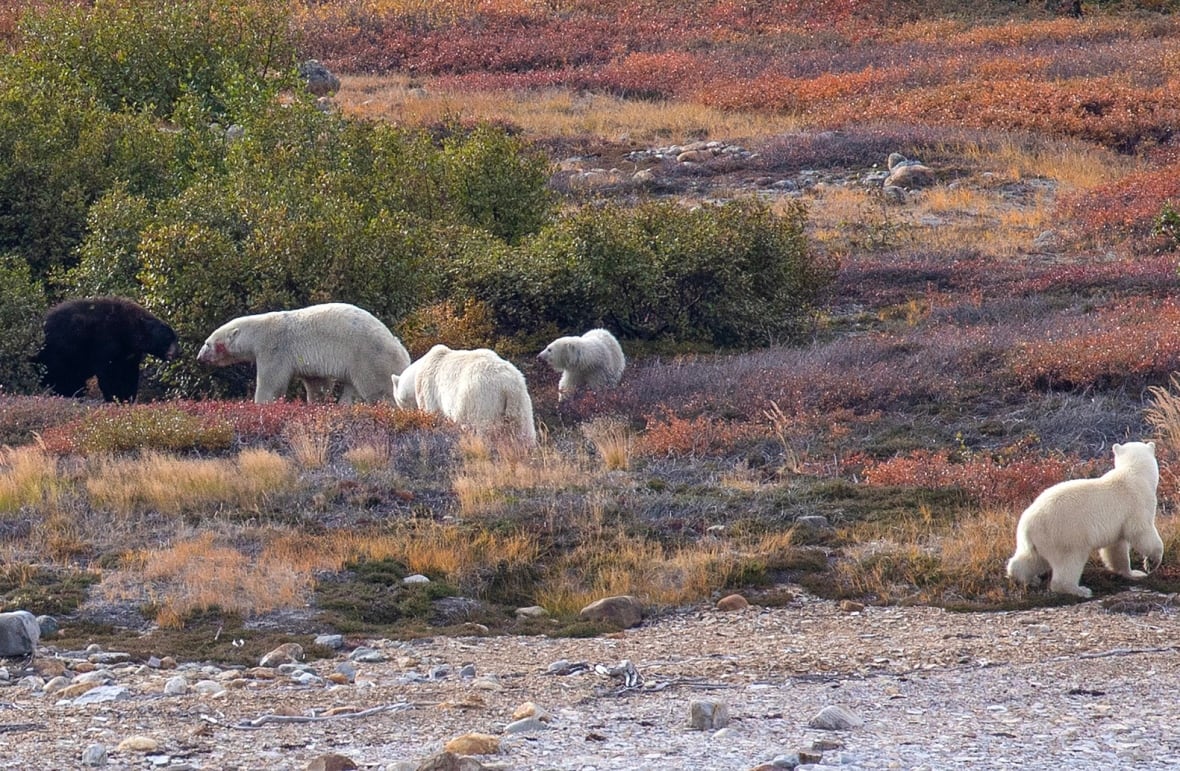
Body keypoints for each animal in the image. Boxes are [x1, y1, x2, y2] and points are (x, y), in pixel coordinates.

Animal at [37, 296, 179, 402]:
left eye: (175, 338)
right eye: (168, 338)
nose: (177, 352)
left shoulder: (129, 353)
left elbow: (129, 373)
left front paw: (127, 397)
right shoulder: (106, 342)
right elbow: (108, 372)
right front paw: (114, 397)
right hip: (60, 350)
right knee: (62, 374)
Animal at [197, 303, 410, 404]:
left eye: (207, 343)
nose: (199, 357)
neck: (256, 332)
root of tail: (404, 354)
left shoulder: (275, 348)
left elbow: (271, 383)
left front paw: (260, 404)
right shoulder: (310, 363)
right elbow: (317, 383)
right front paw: (317, 402)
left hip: (368, 356)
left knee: (377, 389)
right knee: (352, 389)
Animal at [392, 344, 536, 445]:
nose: (404, 415)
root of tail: (508, 387)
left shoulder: (428, 390)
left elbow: (432, 416)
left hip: (483, 401)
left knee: (482, 431)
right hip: (521, 403)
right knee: (525, 433)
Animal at [1006, 441, 1164, 598]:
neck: (1134, 473)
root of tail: (1027, 524)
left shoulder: (1116, 524)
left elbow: (1116, 548)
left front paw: (1133, 573)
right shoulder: (1137, 503)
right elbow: (1142, 532)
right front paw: (1151, 563)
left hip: (1040, 540)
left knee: (1031, 559)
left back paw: (1027, 578)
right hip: (1065, 535)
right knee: (1070, 561)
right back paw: (1080, 590)